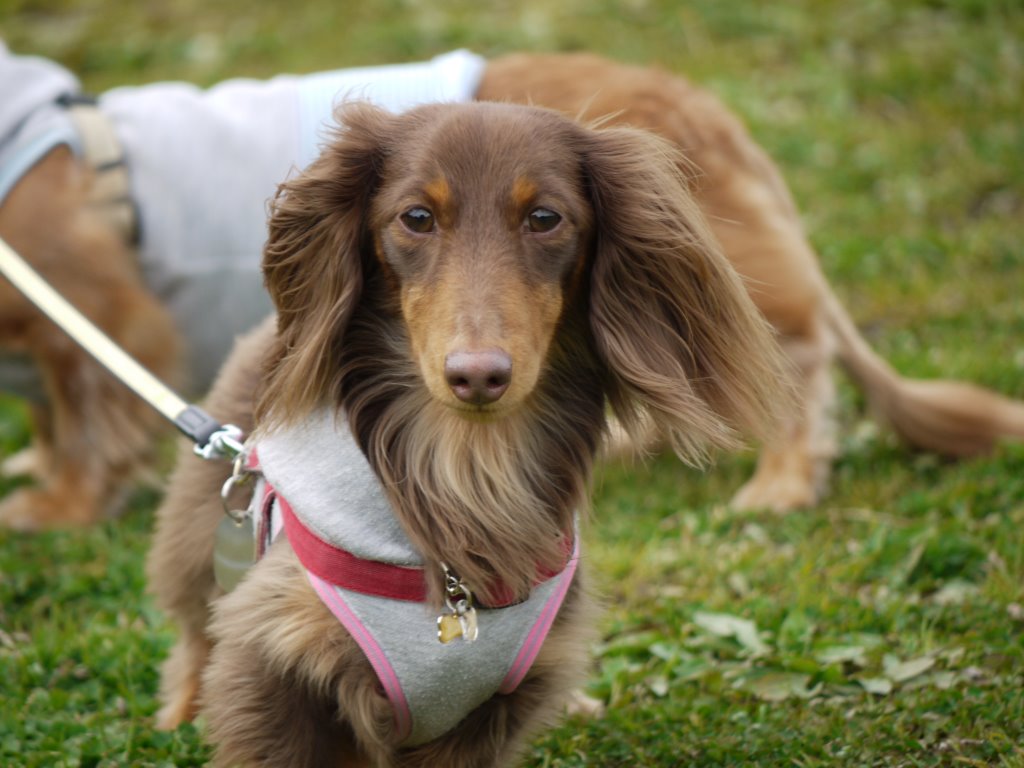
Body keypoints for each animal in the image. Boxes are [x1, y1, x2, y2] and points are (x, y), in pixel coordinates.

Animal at [3, 48, 1023, 529]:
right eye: (412, 219)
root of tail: (701, 106)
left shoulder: (91, 308)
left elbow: (86, 412)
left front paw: (57, 509)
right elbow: (55, 417)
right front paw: (35, 474)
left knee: (798, 370)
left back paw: (781, 480)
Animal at [145, 101, 787, 766]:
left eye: (545, 217)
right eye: (417, 217)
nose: (478, 375)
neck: (467, 470)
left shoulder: (495, 708)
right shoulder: (274, 663)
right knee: (194, 636)